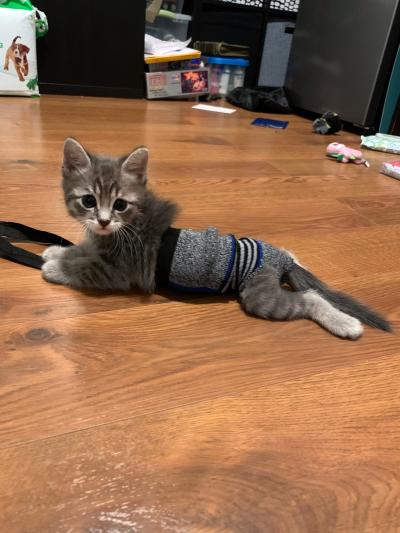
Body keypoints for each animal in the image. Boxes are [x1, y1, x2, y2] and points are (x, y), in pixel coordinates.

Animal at [43, 139, 390, 338]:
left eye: (119, 204)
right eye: (89, 201)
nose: (102, 220)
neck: (126, 226)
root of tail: (280, 261)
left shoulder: (119, 271)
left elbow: (84, 267)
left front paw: (55, 267)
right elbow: (81, 248)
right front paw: (56, 251)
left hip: (259, 296)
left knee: (311, 297)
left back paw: (345, 324)